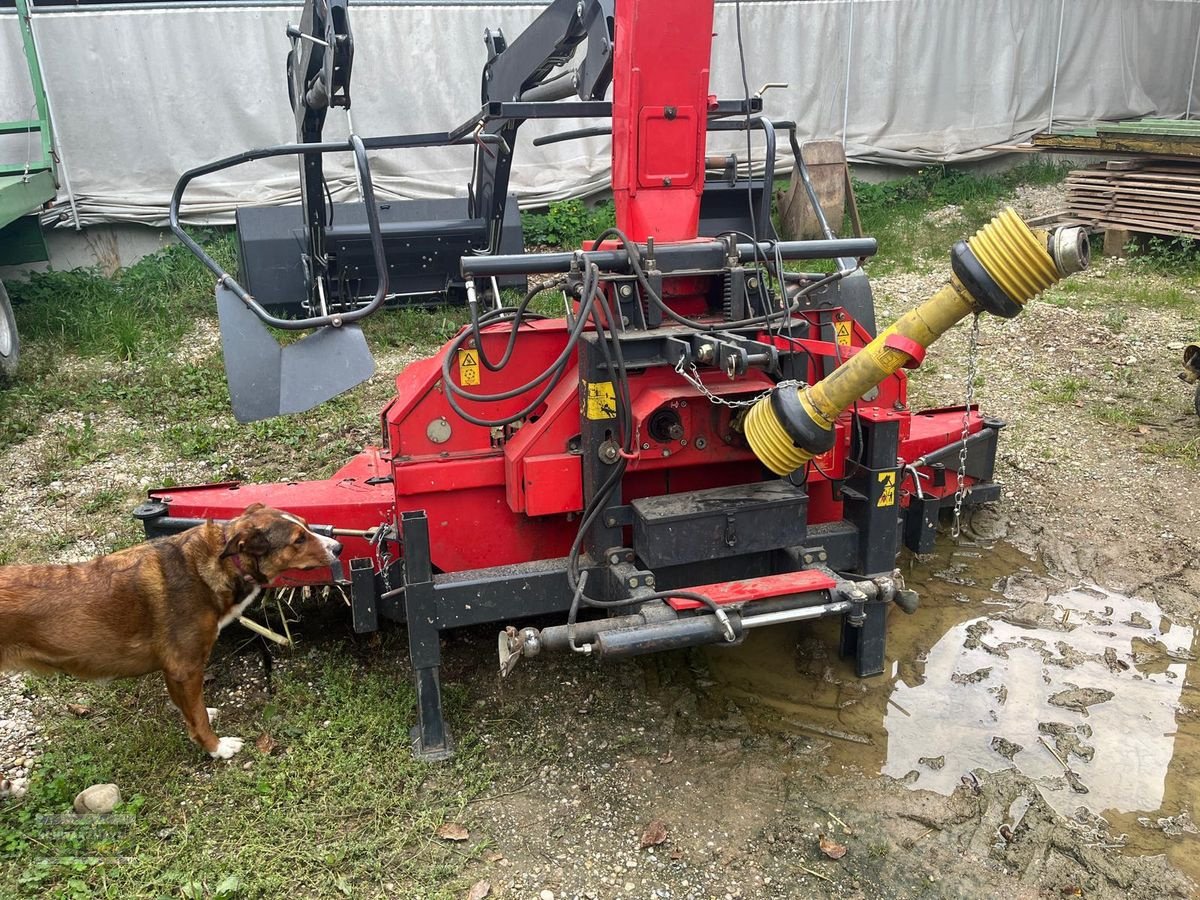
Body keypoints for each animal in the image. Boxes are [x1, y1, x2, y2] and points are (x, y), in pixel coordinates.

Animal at [0, 504, 343, 758]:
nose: (339, 546)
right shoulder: (185, 667)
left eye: (307, 525)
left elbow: (192, 708)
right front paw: (216, 748)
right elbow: (198, 719)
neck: (218, 563)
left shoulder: (176, 673)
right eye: (298, 540)